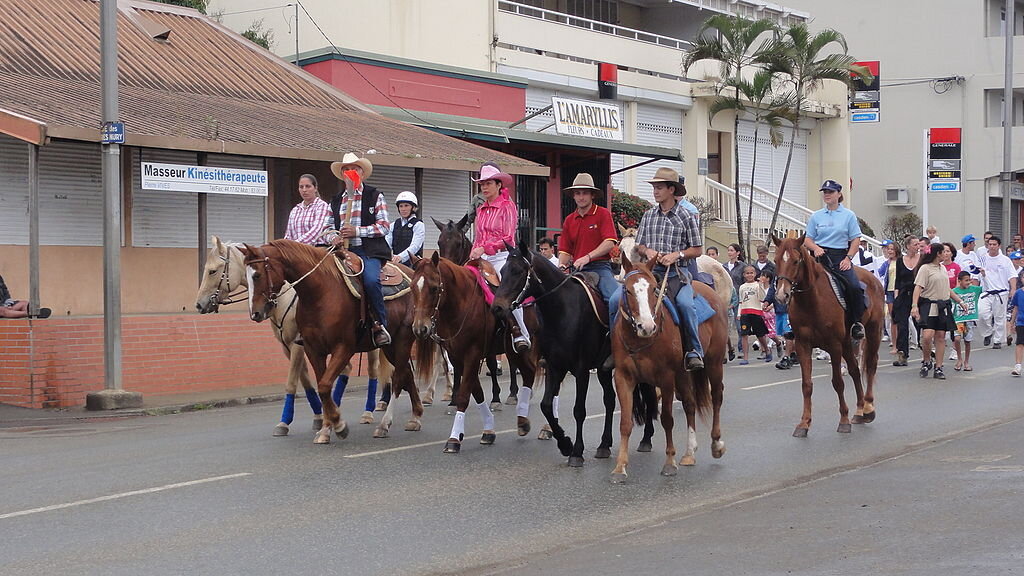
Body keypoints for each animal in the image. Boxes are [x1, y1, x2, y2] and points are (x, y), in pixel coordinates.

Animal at [192, 235, 387, 432]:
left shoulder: (297, 345)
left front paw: (284, 422)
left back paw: (368, 412)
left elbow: (291, 383)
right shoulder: (289, 346)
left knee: (373, 371)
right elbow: (306, 381)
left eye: (212, 271)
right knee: (349, 369)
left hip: (371, 345)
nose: (199, 305)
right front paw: (319, 417)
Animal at [240, 239, 432, 440]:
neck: (320, 293)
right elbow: (321, 387)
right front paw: (325, 429)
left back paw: (385, 424)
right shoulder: (313, 350)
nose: (255, 313)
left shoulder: (343, 348)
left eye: (257, 275)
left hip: (403, 339)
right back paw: (415, 416)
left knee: (399, 376)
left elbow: (325, 386)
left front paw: (339, 425)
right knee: (407, 374)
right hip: (390, 345)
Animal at [407, 251, 540, 453]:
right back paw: (523, 421)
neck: (461, 303)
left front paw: (454, 439)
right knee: (529, 373)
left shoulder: (473, 354)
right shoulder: (458, 356)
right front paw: (488, 431)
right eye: (413, 287)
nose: (420, 328)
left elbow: (464, 395)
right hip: (513, 351)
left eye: (434, 288)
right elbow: (476, 392)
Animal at [606, 253, 729, 481]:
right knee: (690, 404)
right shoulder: (623, 377)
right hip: (683, 374)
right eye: (627, 289)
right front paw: (620, 467)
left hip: (714, 363)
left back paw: (716, 444)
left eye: (654, 288)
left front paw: (669, 462)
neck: (640, 341)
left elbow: (667, 419)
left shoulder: (665, 378)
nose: (646, 326)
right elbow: (625, 422)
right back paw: (689, 453)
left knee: (716, 397)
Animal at [770, 233, 884, 434]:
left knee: (870, 364)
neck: (811, 301)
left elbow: (837, 382)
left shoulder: (834, 345)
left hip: (872, 331)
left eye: (796, 261)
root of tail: (874, 279)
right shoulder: (803, 345)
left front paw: (843, 420)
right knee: (855, 370)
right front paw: (804, 423)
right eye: (776, 260)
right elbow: (807, 385)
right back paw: (859, 411)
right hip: (847, 341)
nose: (782, 295)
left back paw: (868, 408)